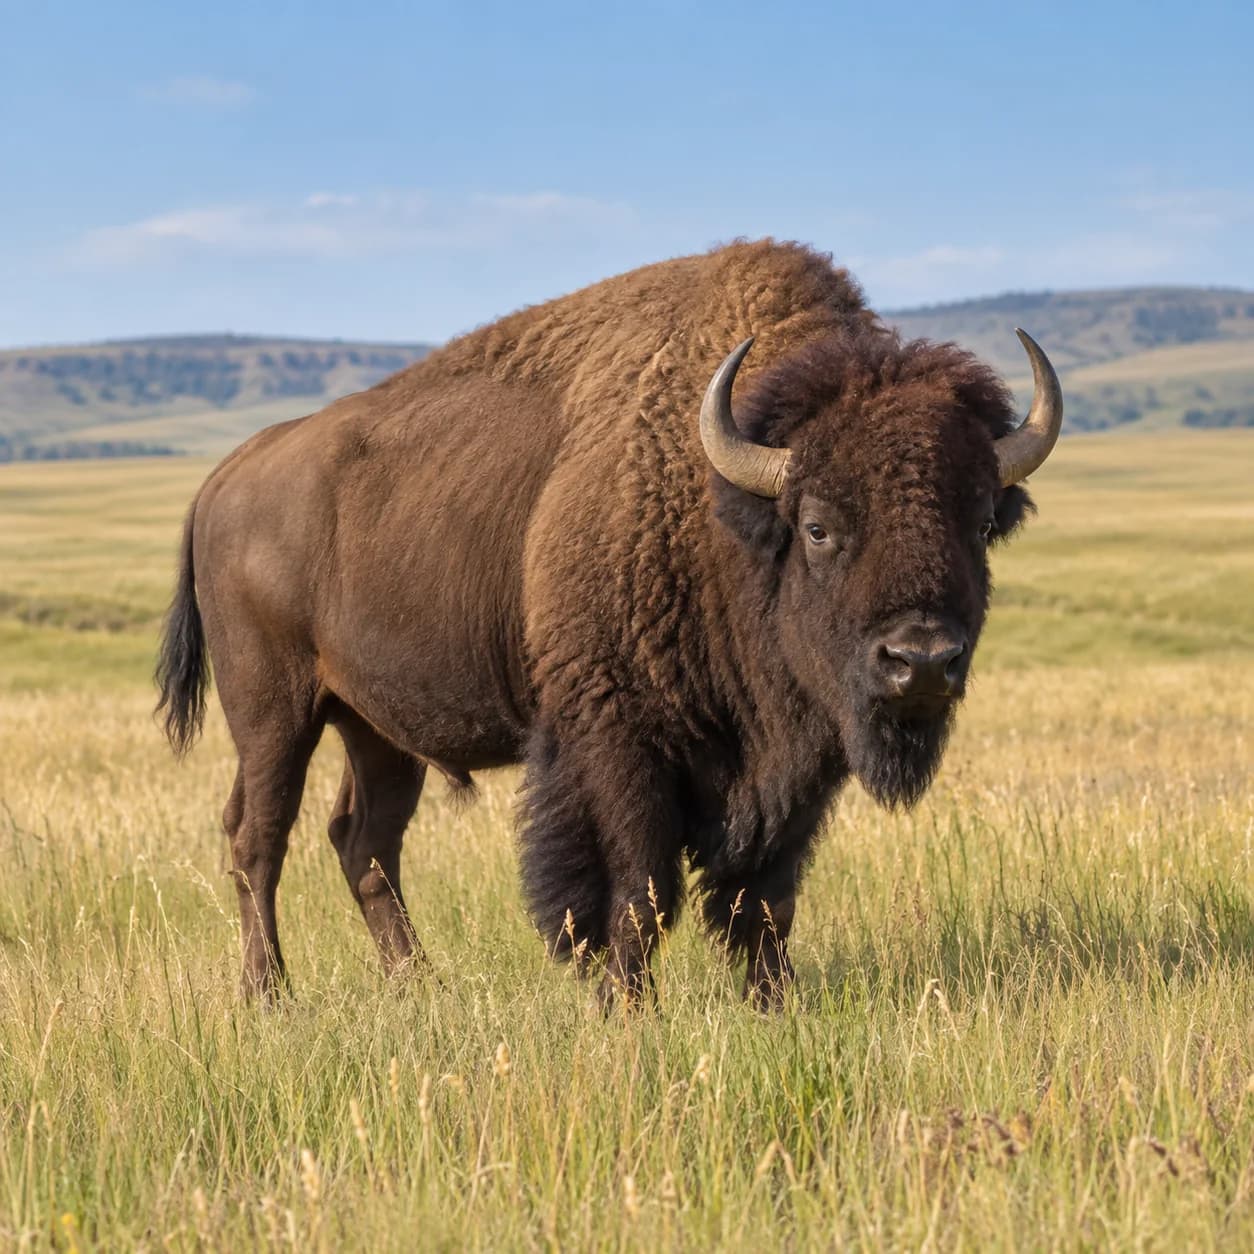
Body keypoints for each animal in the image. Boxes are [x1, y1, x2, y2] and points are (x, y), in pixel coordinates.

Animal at [156, 239, 1062, 1008]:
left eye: (982, 521)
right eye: (817, 526)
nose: (922, 661)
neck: (720, 511)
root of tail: (224, 477)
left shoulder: (800, 763)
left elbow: (763, 898)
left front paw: (776, 1002)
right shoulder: (618, 740)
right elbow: (637, 891)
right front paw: (625, 1006)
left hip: (375, 728)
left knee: (364, 840)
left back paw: (420, 986)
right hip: (273, 712)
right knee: (258, 837)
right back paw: (269, 995)